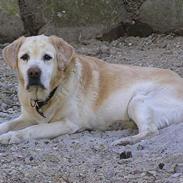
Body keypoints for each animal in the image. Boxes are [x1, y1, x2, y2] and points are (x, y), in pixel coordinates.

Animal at [0, 35, 182, 145]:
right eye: (24, 57)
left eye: (47, 57)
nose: (33, 72)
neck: (50, 94)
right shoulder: (27, 117)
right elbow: (7, 124)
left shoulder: (68, 124)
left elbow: (31, 130)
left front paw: (10, 137)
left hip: (138, 101)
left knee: (150, 130)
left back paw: (123, 141)